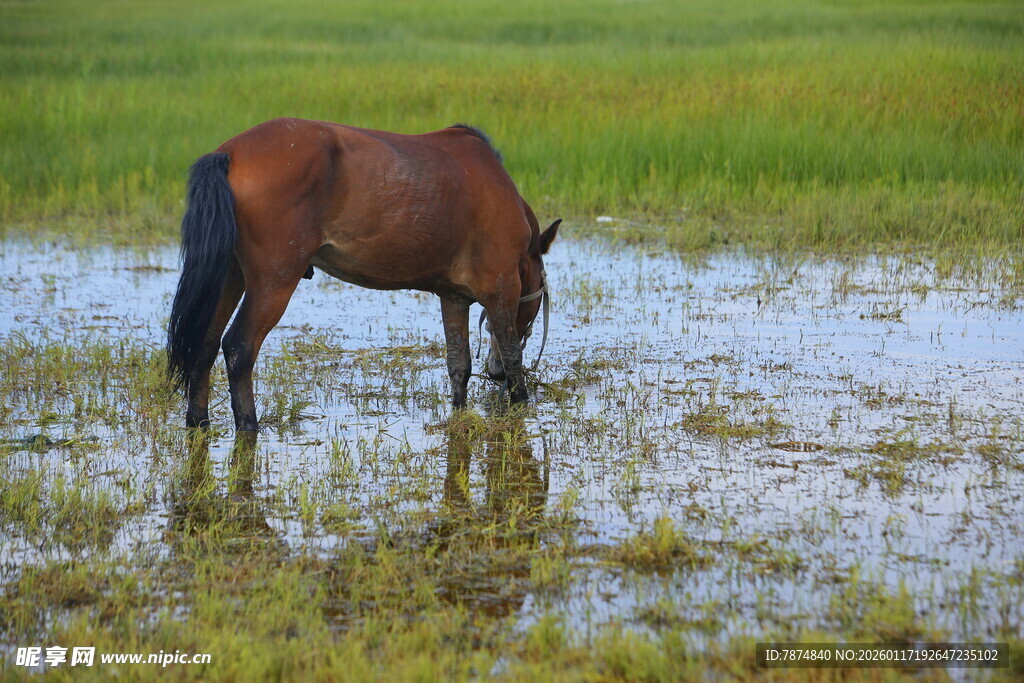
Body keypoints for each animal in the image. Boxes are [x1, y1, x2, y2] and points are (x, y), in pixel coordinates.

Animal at [166, 118, 559, 432]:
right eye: (536, 298)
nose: (493, 372)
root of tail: (229, 154)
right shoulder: (501, 289)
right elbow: (513, 356)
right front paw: (523, 406)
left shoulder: (453, 297)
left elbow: (458, 364)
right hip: (274, 281)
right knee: (239, 347)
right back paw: (248, 425)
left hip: (229, 277)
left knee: (205, 343)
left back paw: (198, 421)